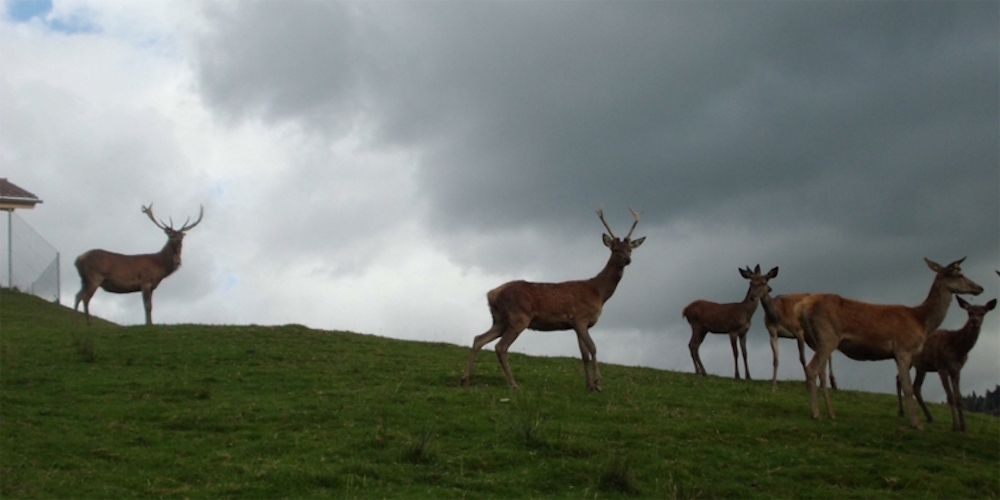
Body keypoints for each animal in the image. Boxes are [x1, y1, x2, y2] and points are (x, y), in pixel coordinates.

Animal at [73, 204, 203, 326]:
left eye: (181, 236)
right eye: (170, 235)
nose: (178, 241)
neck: (159, 267)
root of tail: (79, 259)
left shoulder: (151, 286)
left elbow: (149, 306)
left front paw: (149, 323)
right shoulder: (145, 281)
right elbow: (147, 306)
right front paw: (149, 325)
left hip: (84, 280)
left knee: (78, 295)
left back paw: (76, 322)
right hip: (94, 277)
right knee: (85, 298)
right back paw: (88, 323)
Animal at [458, 206, 644, 390]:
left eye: (630, 249)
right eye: (615, 249)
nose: (627, 259)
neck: (598, 292)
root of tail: (491, 294)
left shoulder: (579, 325)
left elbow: (584, 354)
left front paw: (589, 385)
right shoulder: (580, 318)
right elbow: (593, 348)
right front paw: (598, 384)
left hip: (500, 319)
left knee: (478, 339)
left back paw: (465, 380)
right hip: (519, 317)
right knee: (500, 346)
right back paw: (513, 384)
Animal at [796, 258, 984, 430]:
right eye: (959, 274)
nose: (979, 288)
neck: (921, 320)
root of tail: (802, 306)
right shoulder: (903, 348)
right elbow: (908, 387)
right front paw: (916, 424)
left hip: (817, 341)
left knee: (820, 373)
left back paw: (830, 413)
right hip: (827, 337)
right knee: (811, 369)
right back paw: (816, 414)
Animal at [904, 294, 996, 432]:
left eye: (982, 313)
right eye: (970, 312)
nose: (975, 321)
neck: (958, 349)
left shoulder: (956, 370)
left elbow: (959, 398)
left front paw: (964, 427)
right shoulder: (942, 366)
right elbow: (950, 397)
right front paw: (955, 426)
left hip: (921, 366)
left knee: (915, 386)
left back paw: (929, 417)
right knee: (900, 380)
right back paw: (902, 412)